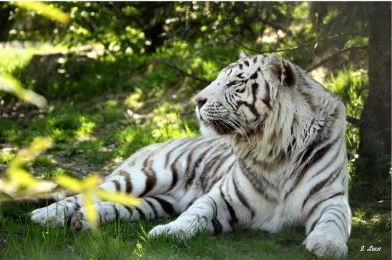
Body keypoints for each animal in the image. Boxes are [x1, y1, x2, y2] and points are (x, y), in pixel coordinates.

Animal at [30, 53, 350, 258]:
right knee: (87, 194)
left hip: (158, 201)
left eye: (236, 83)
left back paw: (82, 221)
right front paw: (169, 232)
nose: (197, 99)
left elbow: (334, 220)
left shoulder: (331, 199)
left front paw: (327, 245)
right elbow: (196, 211)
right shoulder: (223, 197)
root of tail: (149, 145)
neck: (273, 150)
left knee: (116, 205)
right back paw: (45, 216)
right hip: (146, 176)